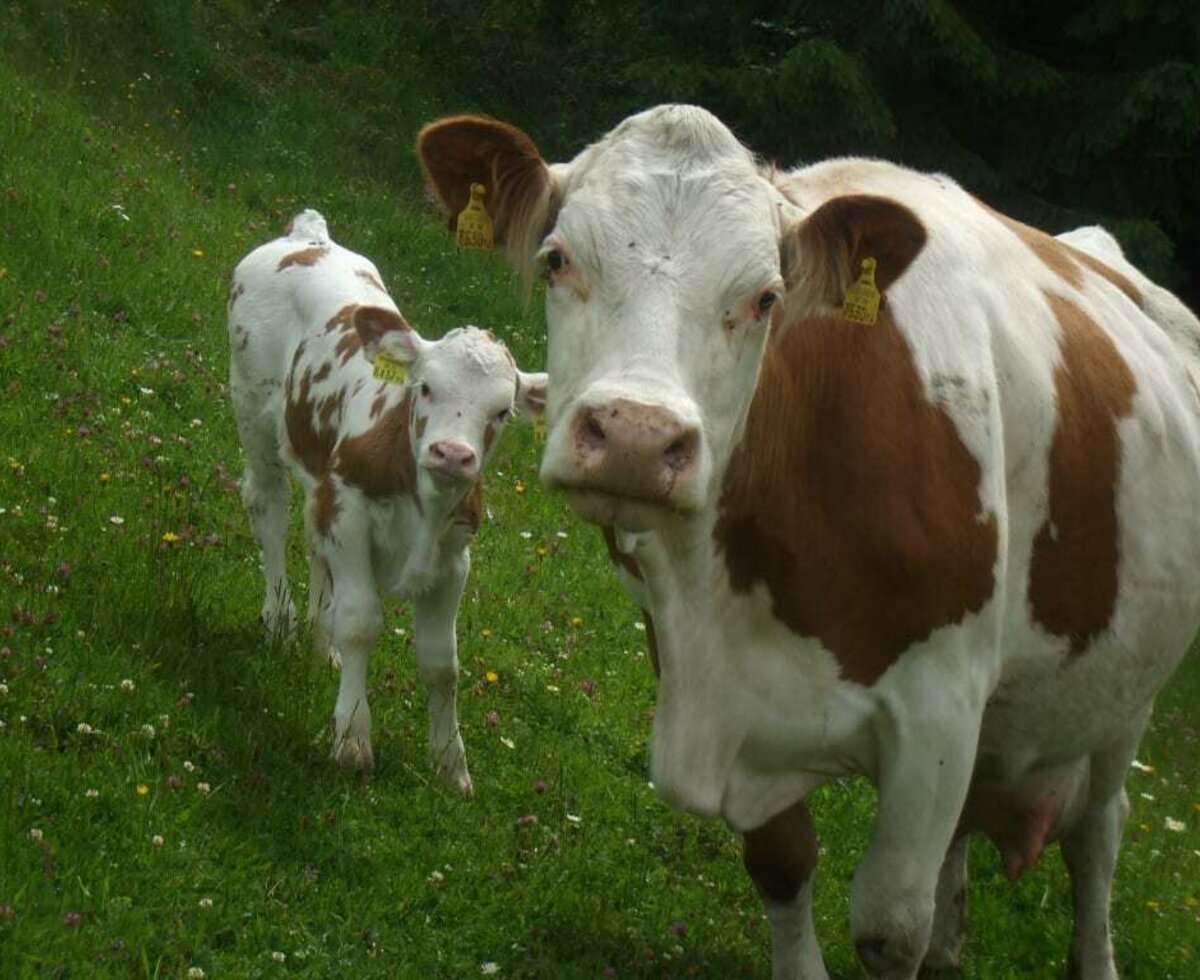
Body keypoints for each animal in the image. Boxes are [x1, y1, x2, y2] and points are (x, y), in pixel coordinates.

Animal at [228, 209, 549, 791]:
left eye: (502, 412)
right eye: (424, 388)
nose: (452, 453)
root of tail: (309, 236)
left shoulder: (453, 560)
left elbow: (443, 663)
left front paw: (450, 764)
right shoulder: (350, 515)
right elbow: (361, 621)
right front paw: (352, 736)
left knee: (310, 536)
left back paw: (320, 641)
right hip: (253, 410)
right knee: (268, 509)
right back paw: (280, 619)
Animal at [417, 110, 1200, 974]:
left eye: (766, 297)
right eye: (557, 259)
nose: (636, 437)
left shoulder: (941, 708)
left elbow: (891, 926)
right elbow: (783, 861)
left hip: (1123, 701)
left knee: (1098, 837)